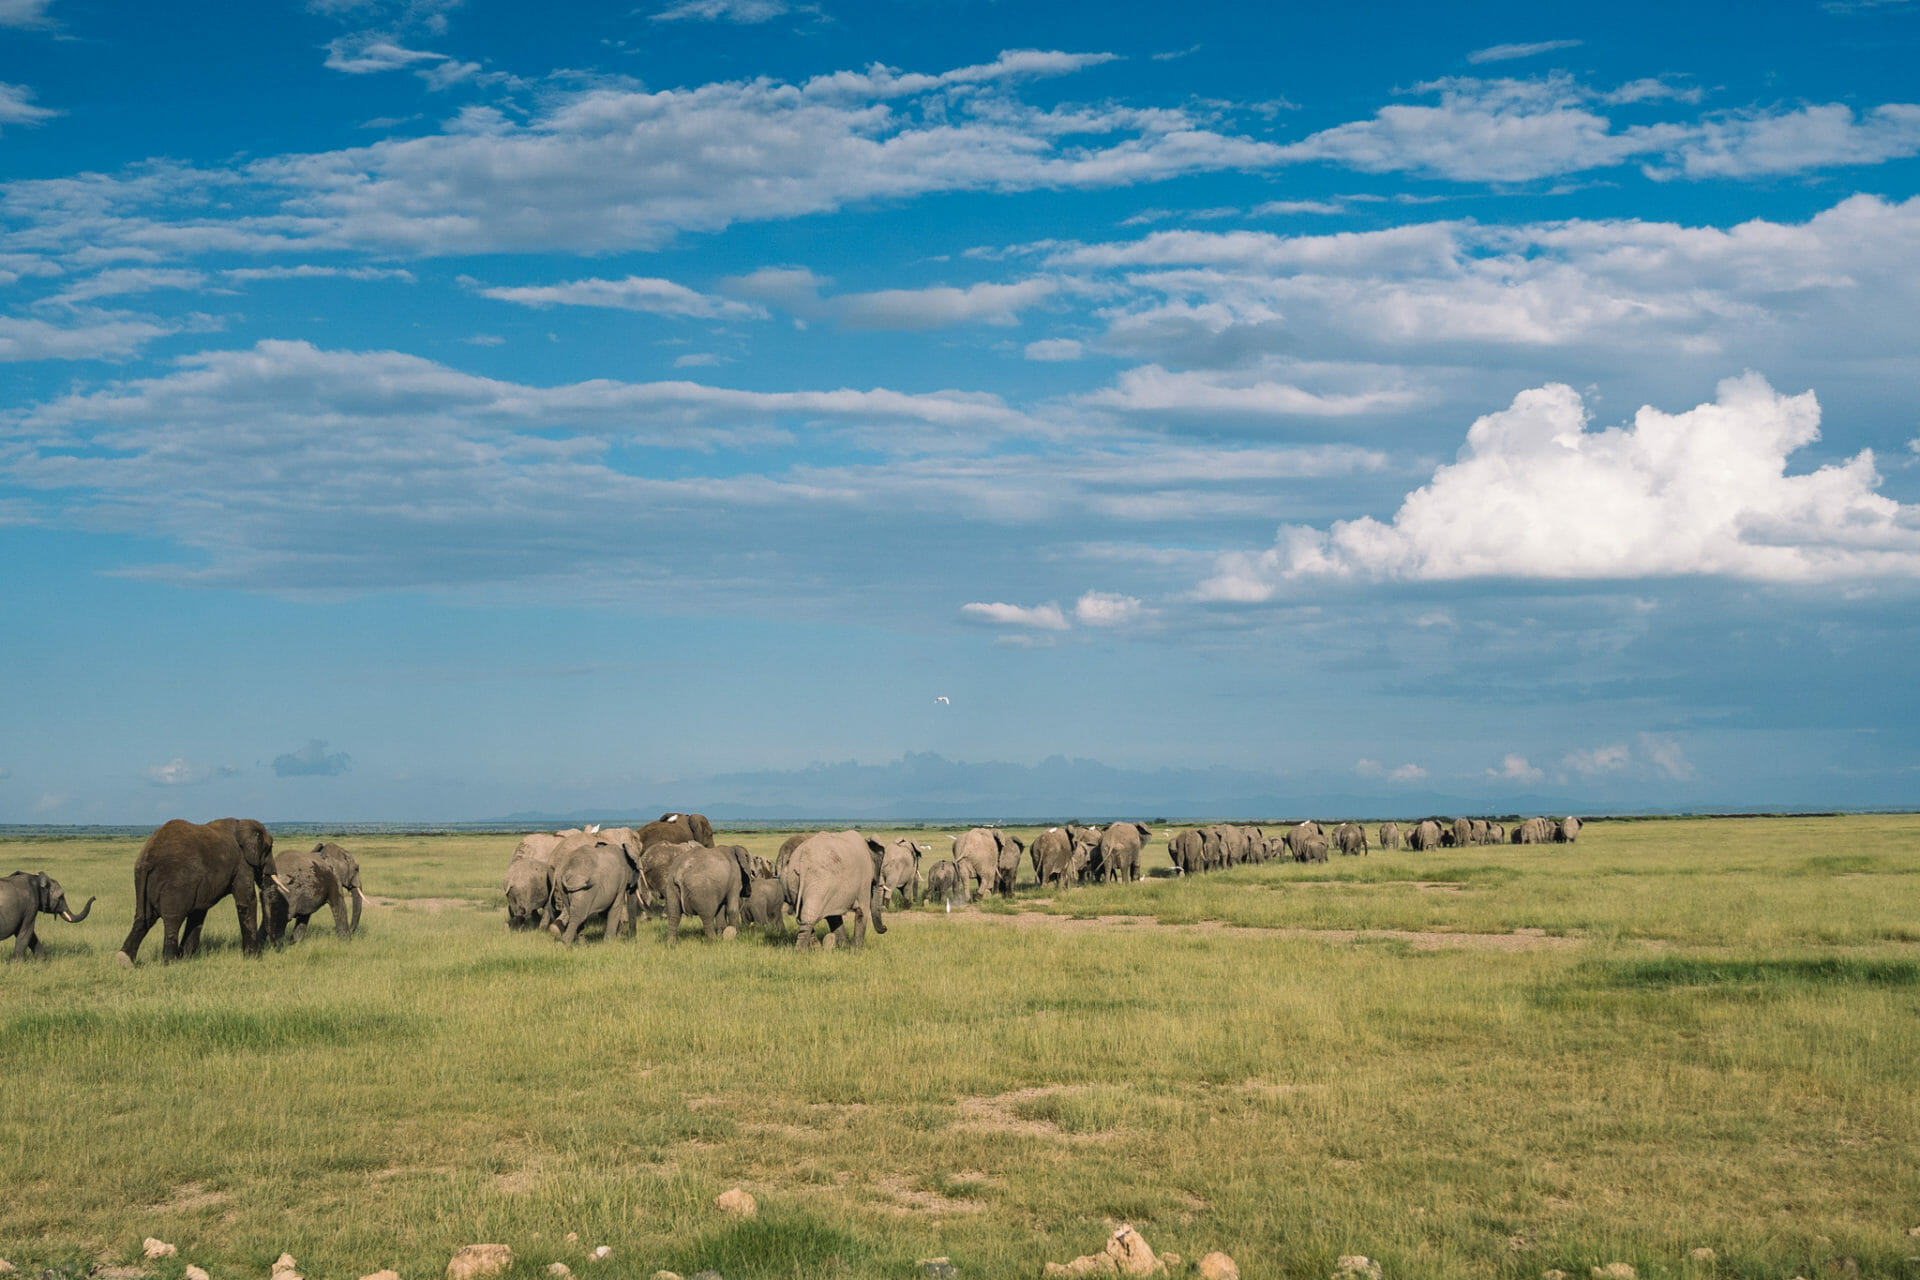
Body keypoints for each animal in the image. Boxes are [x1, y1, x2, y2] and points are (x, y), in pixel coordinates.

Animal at [117, 818, 273, 966]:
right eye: (268, 849)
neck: (242, 823)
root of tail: (148, 859)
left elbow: (198, 912)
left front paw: (186, 957)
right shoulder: (242, 864)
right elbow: (246, 901)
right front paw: (255, 958)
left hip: (143, 883)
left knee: (144, 918)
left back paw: (125, 961)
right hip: (176, 884)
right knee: (172, 919)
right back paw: (170, 962)